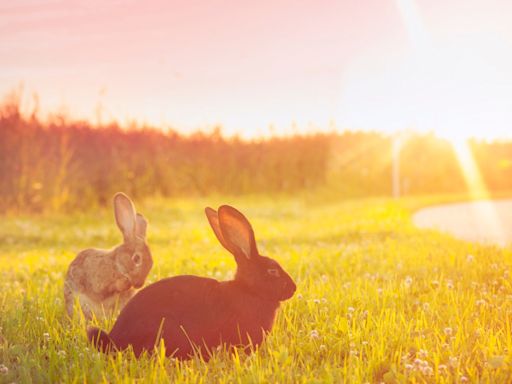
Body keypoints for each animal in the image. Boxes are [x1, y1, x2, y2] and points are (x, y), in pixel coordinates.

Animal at [64, 192, 153, 320]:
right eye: (136, 259)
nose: (139, 285)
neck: (117, 263)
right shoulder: (99, 281)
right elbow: (104, 290)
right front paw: (124, 283)